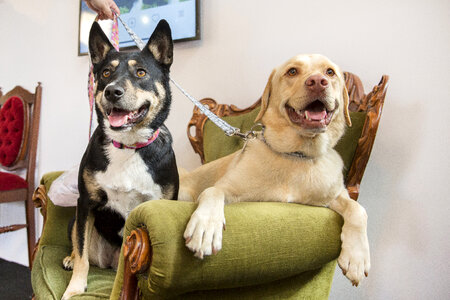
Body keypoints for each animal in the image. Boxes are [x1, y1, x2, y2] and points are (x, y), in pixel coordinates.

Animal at [62, 19, 178, 298]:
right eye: (105, 73)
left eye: (141, 73)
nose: (112, 91)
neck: (128, 146)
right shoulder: (86, 203)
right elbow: (82, 254)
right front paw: (75, 289)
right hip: (75, 219)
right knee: (79, 247)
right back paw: (70, 258)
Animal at [178, 54, 370, 286]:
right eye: (292, 71)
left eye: (330, 72)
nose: (317, 81)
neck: (296, 155)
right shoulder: (228, 189)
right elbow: (213, 191)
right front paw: (205, 227)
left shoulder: (332, 196)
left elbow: (358, 209)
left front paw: (357, 257)